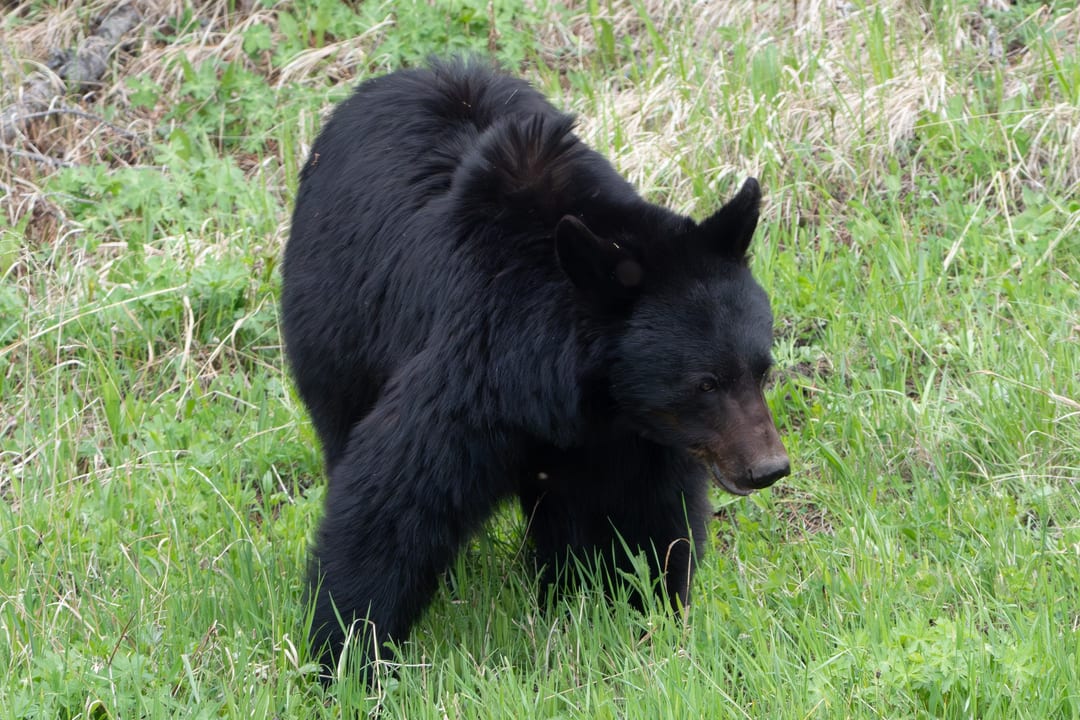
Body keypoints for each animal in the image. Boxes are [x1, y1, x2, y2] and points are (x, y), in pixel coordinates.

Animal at [280, 59, 790, 677]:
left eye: (761, 370)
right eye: (705, 383)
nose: (767, 468)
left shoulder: (637, 438)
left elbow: (650, 518)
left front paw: (648, 614)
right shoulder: (469, 376)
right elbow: (394, 498)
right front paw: (345, 655)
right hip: (336, 330)